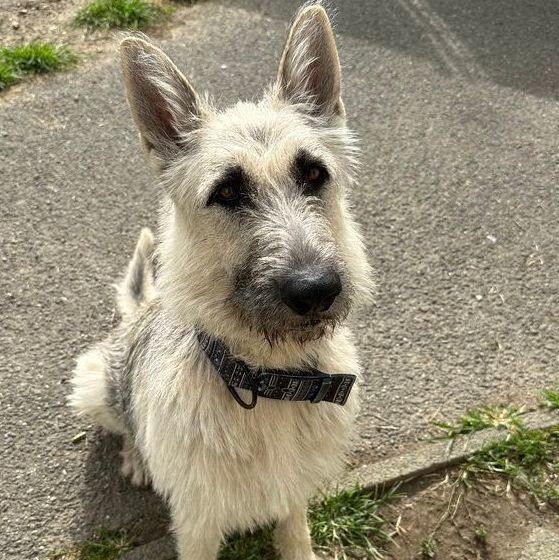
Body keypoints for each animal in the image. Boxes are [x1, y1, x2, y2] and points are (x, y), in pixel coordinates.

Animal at [71, 5, 372, 560]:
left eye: (314, 175)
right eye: (228, 191)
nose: (317, 289)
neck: (269, 380)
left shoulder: (293, 495)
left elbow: (295, 534)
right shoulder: (197, 521)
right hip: (91, 382)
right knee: (125, 423)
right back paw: (138, 457)